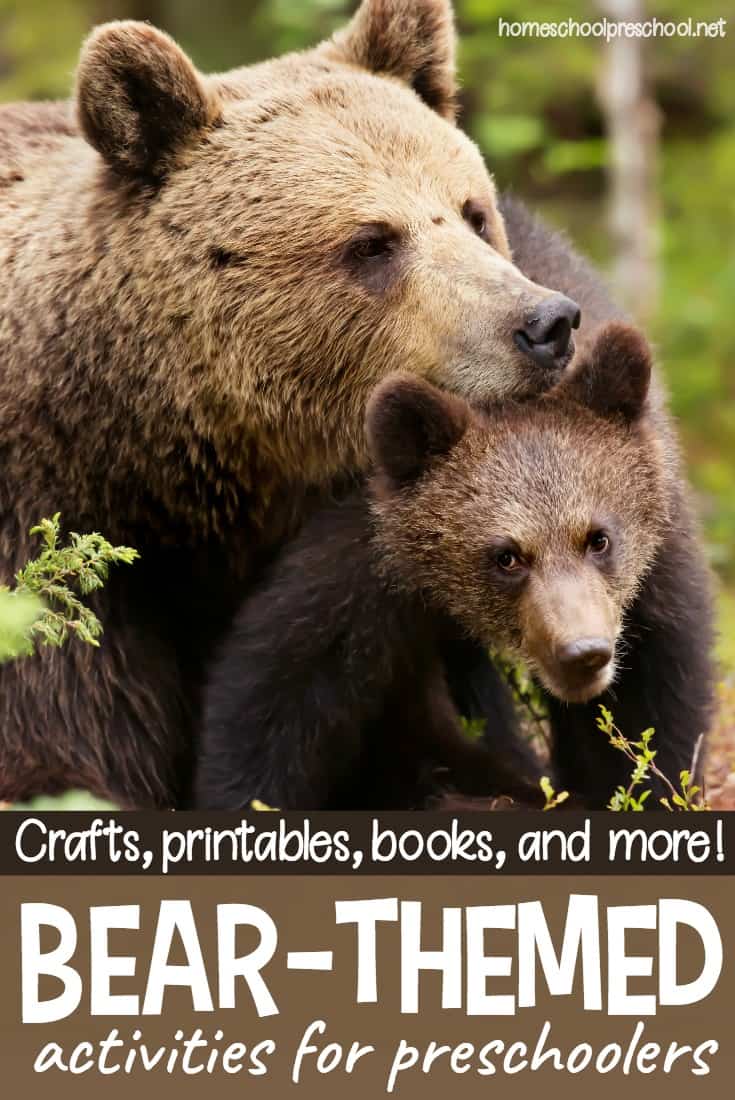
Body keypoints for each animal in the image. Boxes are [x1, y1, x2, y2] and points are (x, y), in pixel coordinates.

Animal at [197, 322, 671, 811]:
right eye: (507, 556)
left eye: (598, 538)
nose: (582, 654)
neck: (440, 597)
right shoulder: (351, 596)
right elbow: (271, 710)